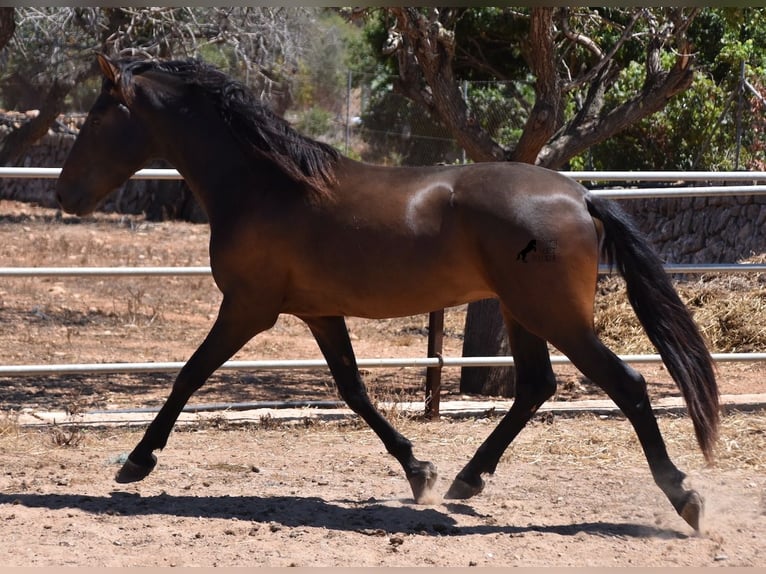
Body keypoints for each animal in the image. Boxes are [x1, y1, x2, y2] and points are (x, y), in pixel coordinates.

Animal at [55, 56, 720, 532]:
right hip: (522, 312)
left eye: (99, 116)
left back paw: (686, 499)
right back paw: (465, 481)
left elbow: (189, 375)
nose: (65, 194)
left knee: (627, 385)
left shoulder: (248, 308)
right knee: (536, 386)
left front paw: (136, 462)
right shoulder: (319, 313)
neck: (268, 186)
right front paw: (419, 470)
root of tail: (580, 196)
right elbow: (352, 389)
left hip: (556, 317)